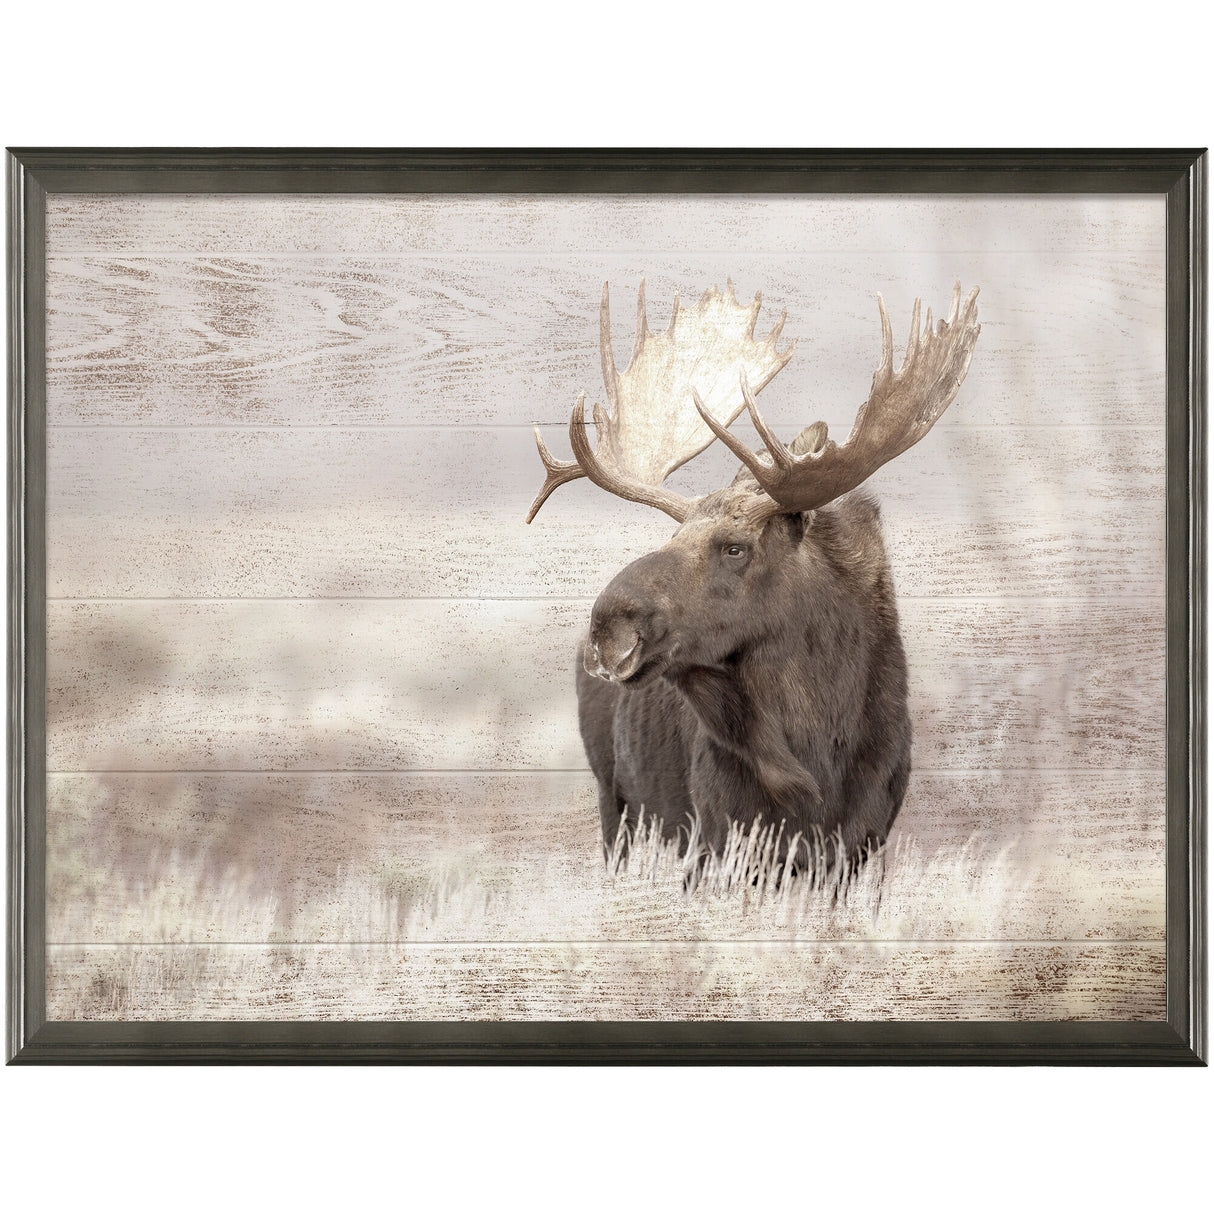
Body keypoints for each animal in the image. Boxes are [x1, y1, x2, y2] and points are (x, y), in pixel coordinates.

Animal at [526, 278, 980, 874]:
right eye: (671, 539)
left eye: (735, 548)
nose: (608, 631)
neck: (814, 752)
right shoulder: (716, 836)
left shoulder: (864, 843)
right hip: (616, 802)